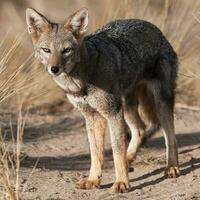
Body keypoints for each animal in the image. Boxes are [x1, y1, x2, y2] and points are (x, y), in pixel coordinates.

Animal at [25, 7, 180, 193]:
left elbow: (116, 151)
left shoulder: (112, 112)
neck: (82, 81)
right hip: (127, 107)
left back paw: (171, 167)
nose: (54, 69)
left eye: (66, 50)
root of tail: (155, 28)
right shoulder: (92, 116)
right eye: (46, 50)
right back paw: (130, 159)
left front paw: (121, 182)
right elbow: (96, 152)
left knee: (170, 136)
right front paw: (93, 179)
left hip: (160, 103)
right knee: (141, 129)